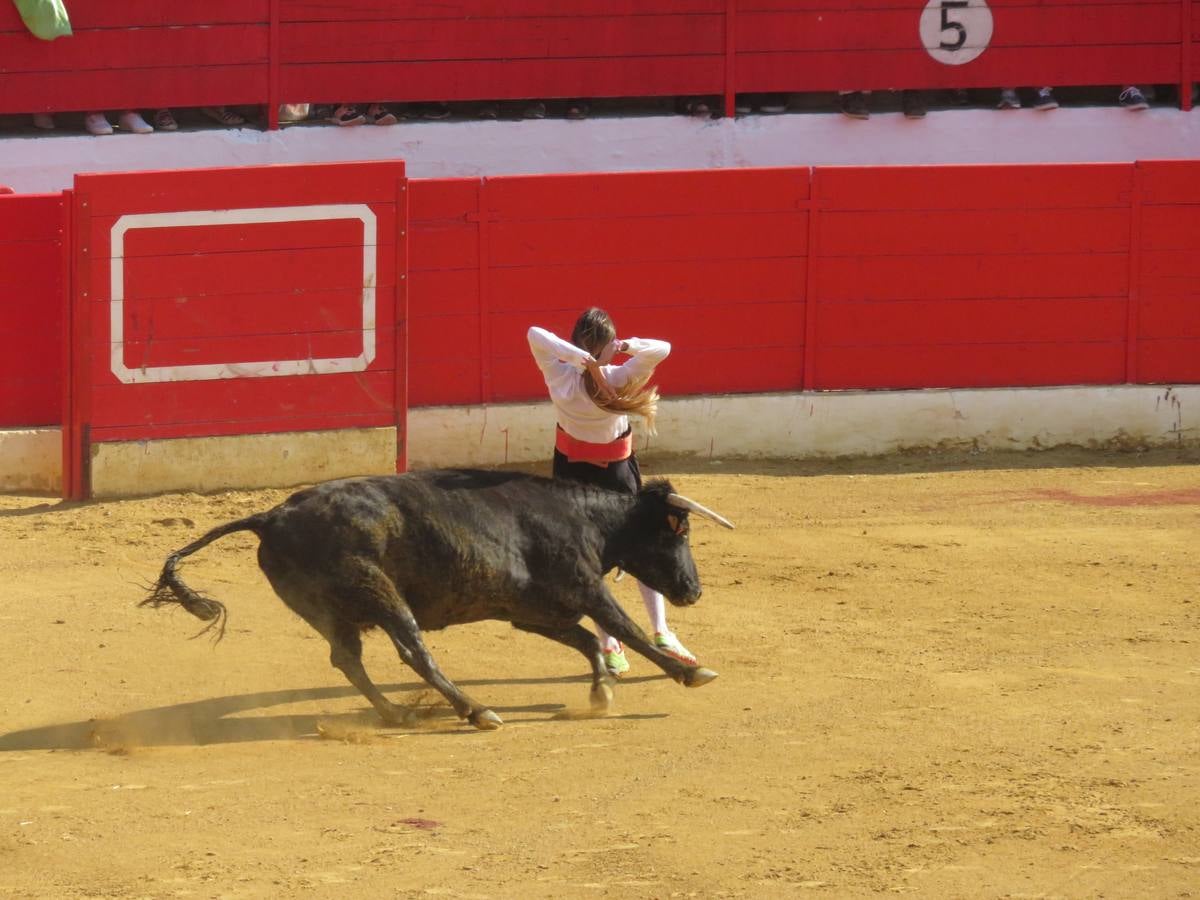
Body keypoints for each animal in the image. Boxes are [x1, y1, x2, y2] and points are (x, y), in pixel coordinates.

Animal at [140, 468, 729, 729]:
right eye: (678, 533)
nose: (694, 590)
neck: (584, 519)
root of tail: (273, 515)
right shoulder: (585, 587)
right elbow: (623, 628)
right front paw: (690, 673)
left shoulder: (532, 612)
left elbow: (584, 639)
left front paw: (602, 689)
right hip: (381, 594)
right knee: (413, 652)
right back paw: (477, 710)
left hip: (328, 611)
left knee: (346, 658)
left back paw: (397, 712)